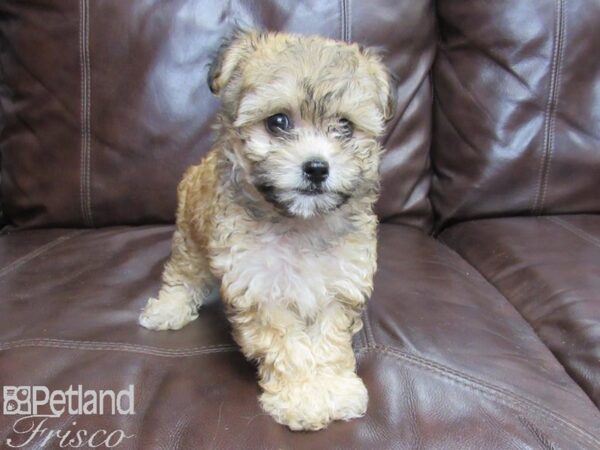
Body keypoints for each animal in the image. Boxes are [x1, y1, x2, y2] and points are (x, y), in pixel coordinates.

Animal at [138, 29, 396, 430]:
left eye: (345, 126)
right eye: (278, 122)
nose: (316, 168)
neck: (299, 222)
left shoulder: (339, 286)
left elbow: (329, 343)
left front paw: (335, 389)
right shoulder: (260, 289)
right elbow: (287, 346)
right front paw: (302, 398)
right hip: (189, 235)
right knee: (183, 274)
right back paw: (169, 308)